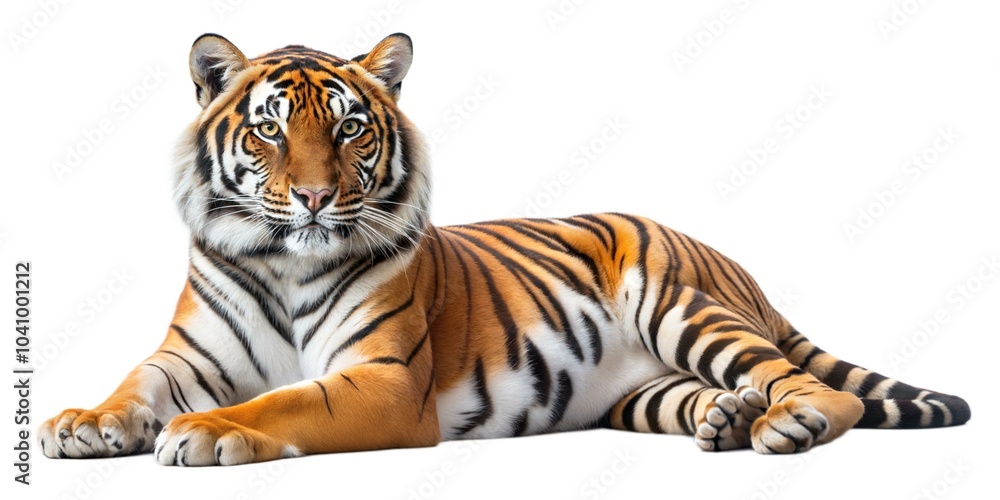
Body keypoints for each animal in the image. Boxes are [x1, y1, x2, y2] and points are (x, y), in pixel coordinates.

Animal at [40, 33, 970, 466]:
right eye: (269, 130)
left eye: (348, 128)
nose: (312, 197)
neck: (282, 257)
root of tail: (735, 266)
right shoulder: (186, 356)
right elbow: (134, 385)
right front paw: (81, 423)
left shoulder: (385, 379)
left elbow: (283, 402)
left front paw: (205, 432)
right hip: (644, 393)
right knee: (710, 395)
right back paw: (729, 419)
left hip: (681, 305)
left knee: (812, 386)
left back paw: (786, 424)